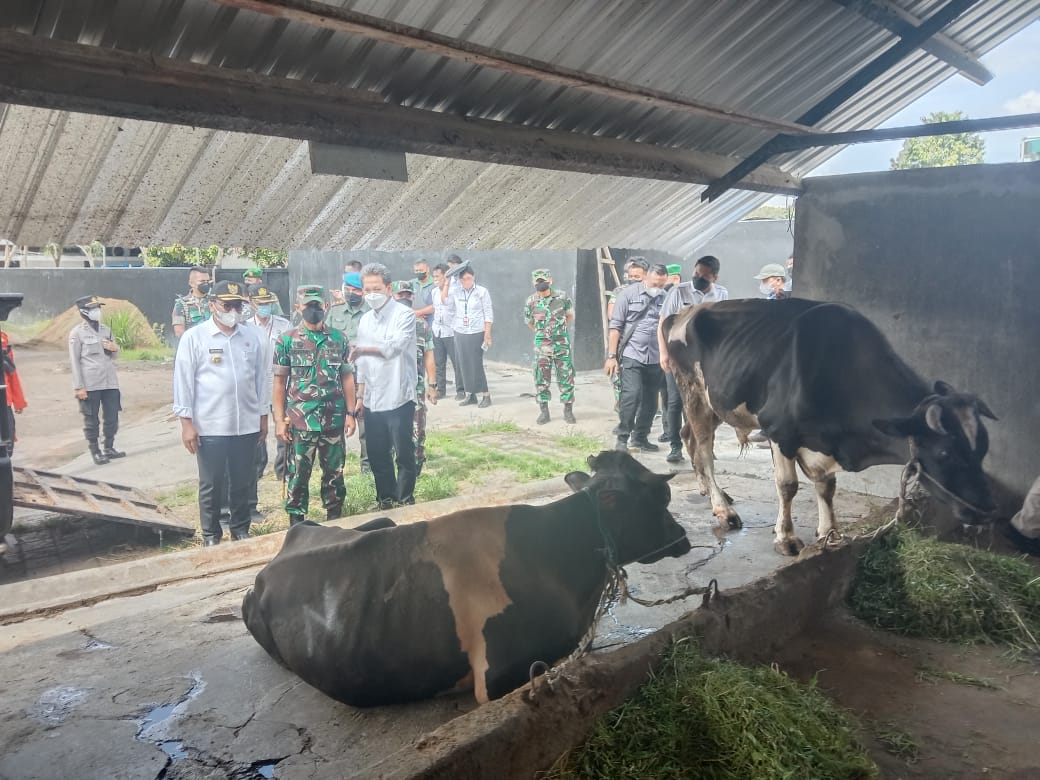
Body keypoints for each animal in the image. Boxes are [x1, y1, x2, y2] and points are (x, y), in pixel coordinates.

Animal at [661, 297, 994, 557]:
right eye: (945, 453)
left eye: (983, 449)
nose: (986, 511)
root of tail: (683, 311)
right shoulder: (779, 429)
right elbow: (788, 486)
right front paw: (786, 538)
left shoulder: (822, 442)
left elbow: (827, 487)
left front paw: (829, 533)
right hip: (693, 392)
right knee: (704, 452)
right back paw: (723, 509)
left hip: (717, 401)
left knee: (689, 439)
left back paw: (709, 491)